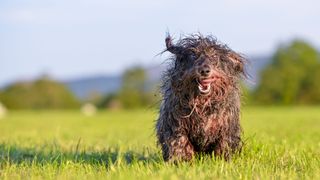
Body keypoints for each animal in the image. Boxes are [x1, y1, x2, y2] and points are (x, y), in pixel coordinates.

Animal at [156, 33, 246, 162]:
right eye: (193, 55)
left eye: (214, 55)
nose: (204, 70)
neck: (202, 103)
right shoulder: (174, 124)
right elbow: (179, 141)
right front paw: (182, 160)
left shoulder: (227, 125)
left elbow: (224, 143)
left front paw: (222, 159)